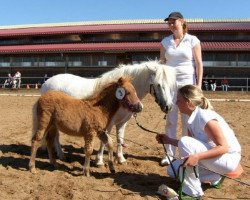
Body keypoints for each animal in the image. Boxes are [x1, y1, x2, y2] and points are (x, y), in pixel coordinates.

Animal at [41, 60, 176, 166]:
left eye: (171, 85)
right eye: (158, 85)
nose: (168, 106)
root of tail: (46, 83)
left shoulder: (122, 123)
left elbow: (119, 140)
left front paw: (121, 159)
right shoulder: (108, 123)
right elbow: (104, 141)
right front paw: (99, 161)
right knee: (56, 136)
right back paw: (61, 155)